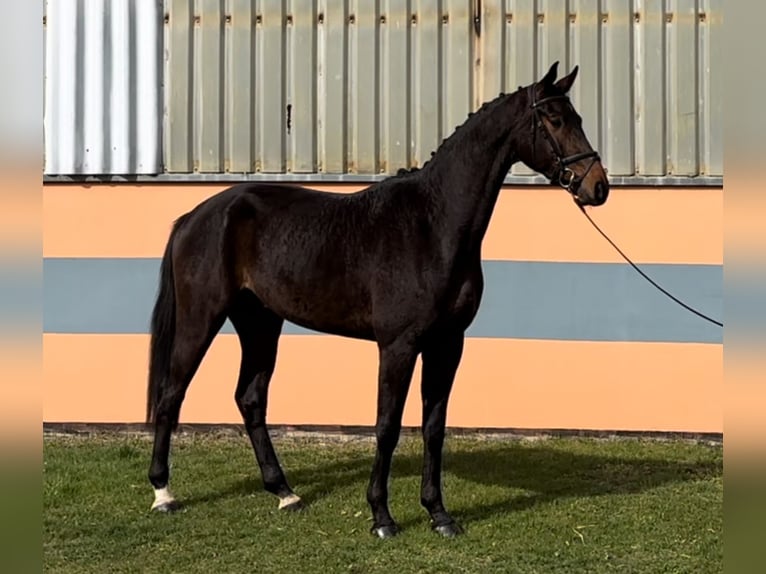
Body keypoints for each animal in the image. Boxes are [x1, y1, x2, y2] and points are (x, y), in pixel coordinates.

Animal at [145, 61, 610, 538]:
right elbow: (387, 426)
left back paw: (284, 492)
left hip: (260, 323)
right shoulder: (398, 346)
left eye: (577, 118)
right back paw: (164, 493)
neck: (433, 225)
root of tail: (195, 217)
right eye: (554, 119)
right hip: (202, 319)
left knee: (250, 399)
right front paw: (382, 516)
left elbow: (434, 427)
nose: (597, 186)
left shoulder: (448, 343)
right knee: (171, 394)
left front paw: (439, 514)